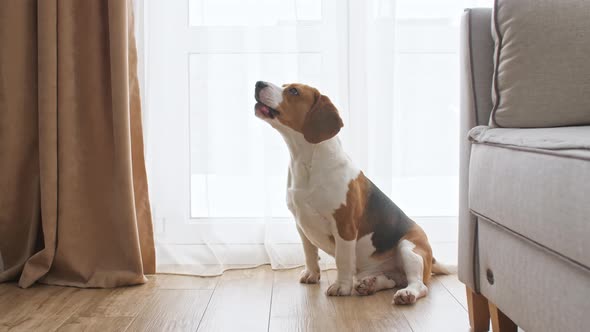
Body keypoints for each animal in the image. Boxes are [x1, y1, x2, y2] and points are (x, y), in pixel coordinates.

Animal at [254, 81, 454, 304]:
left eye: (294, 91)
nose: (259, 84)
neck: (307, 161)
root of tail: (431, 257)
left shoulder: (344, 226)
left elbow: (342, 259)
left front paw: (341, 287)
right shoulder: (301, 225)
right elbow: (309, 254)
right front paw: (312, 274)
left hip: (409, 249)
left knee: (419, 284)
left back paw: (406, 294)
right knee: (392, 280)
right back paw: (370, 284)